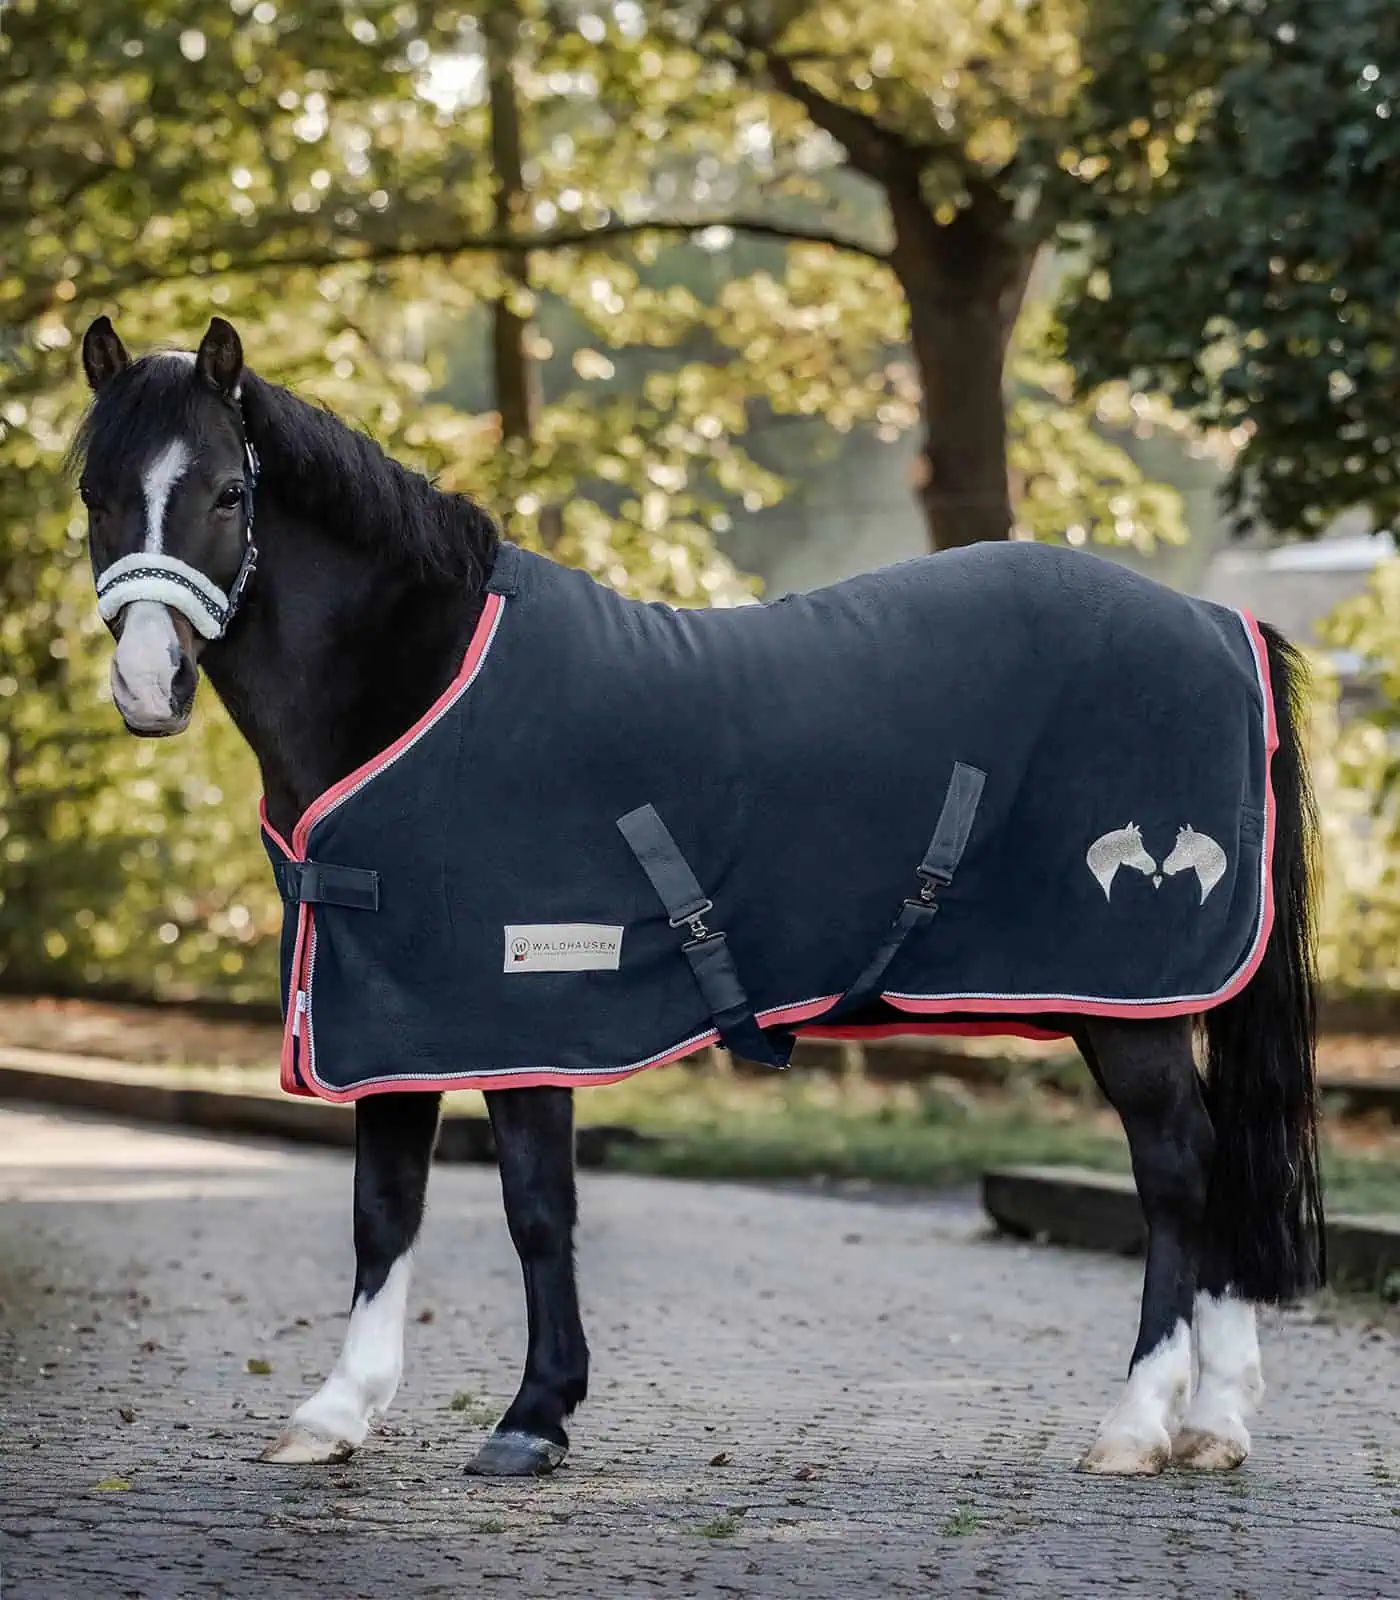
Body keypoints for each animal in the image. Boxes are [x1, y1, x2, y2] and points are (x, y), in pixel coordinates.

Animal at [69, 314, 1323, 1478]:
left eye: (229, 491)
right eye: (94, 491)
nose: (147, 683)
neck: (421, 691)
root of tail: (1222, 626)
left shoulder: (527, 1005)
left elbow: (535, 1208)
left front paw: (533, 1416)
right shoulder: (387, 1009)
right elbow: (384, 1205)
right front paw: (336, 1411)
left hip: (1132, 1002)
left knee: (1177, 1171)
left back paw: (1137, 1421)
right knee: (1218, 1166)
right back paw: (1213, 1422)